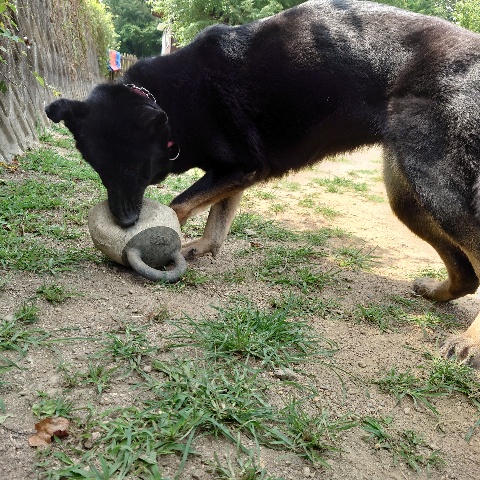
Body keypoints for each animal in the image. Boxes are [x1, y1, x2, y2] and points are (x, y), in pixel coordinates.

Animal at [45, 0, 480, 365]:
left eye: (134, 169)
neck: (167, 101)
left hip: (436, 186)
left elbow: (179, 204)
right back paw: (437, 292)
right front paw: (201, 247)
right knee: (468, 275)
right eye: (100, 171)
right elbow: (218, 220)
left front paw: (172, 234)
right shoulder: (235, 174)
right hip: (406, 194)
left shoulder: (240, 168)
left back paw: (470, 342)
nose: (123, 222)